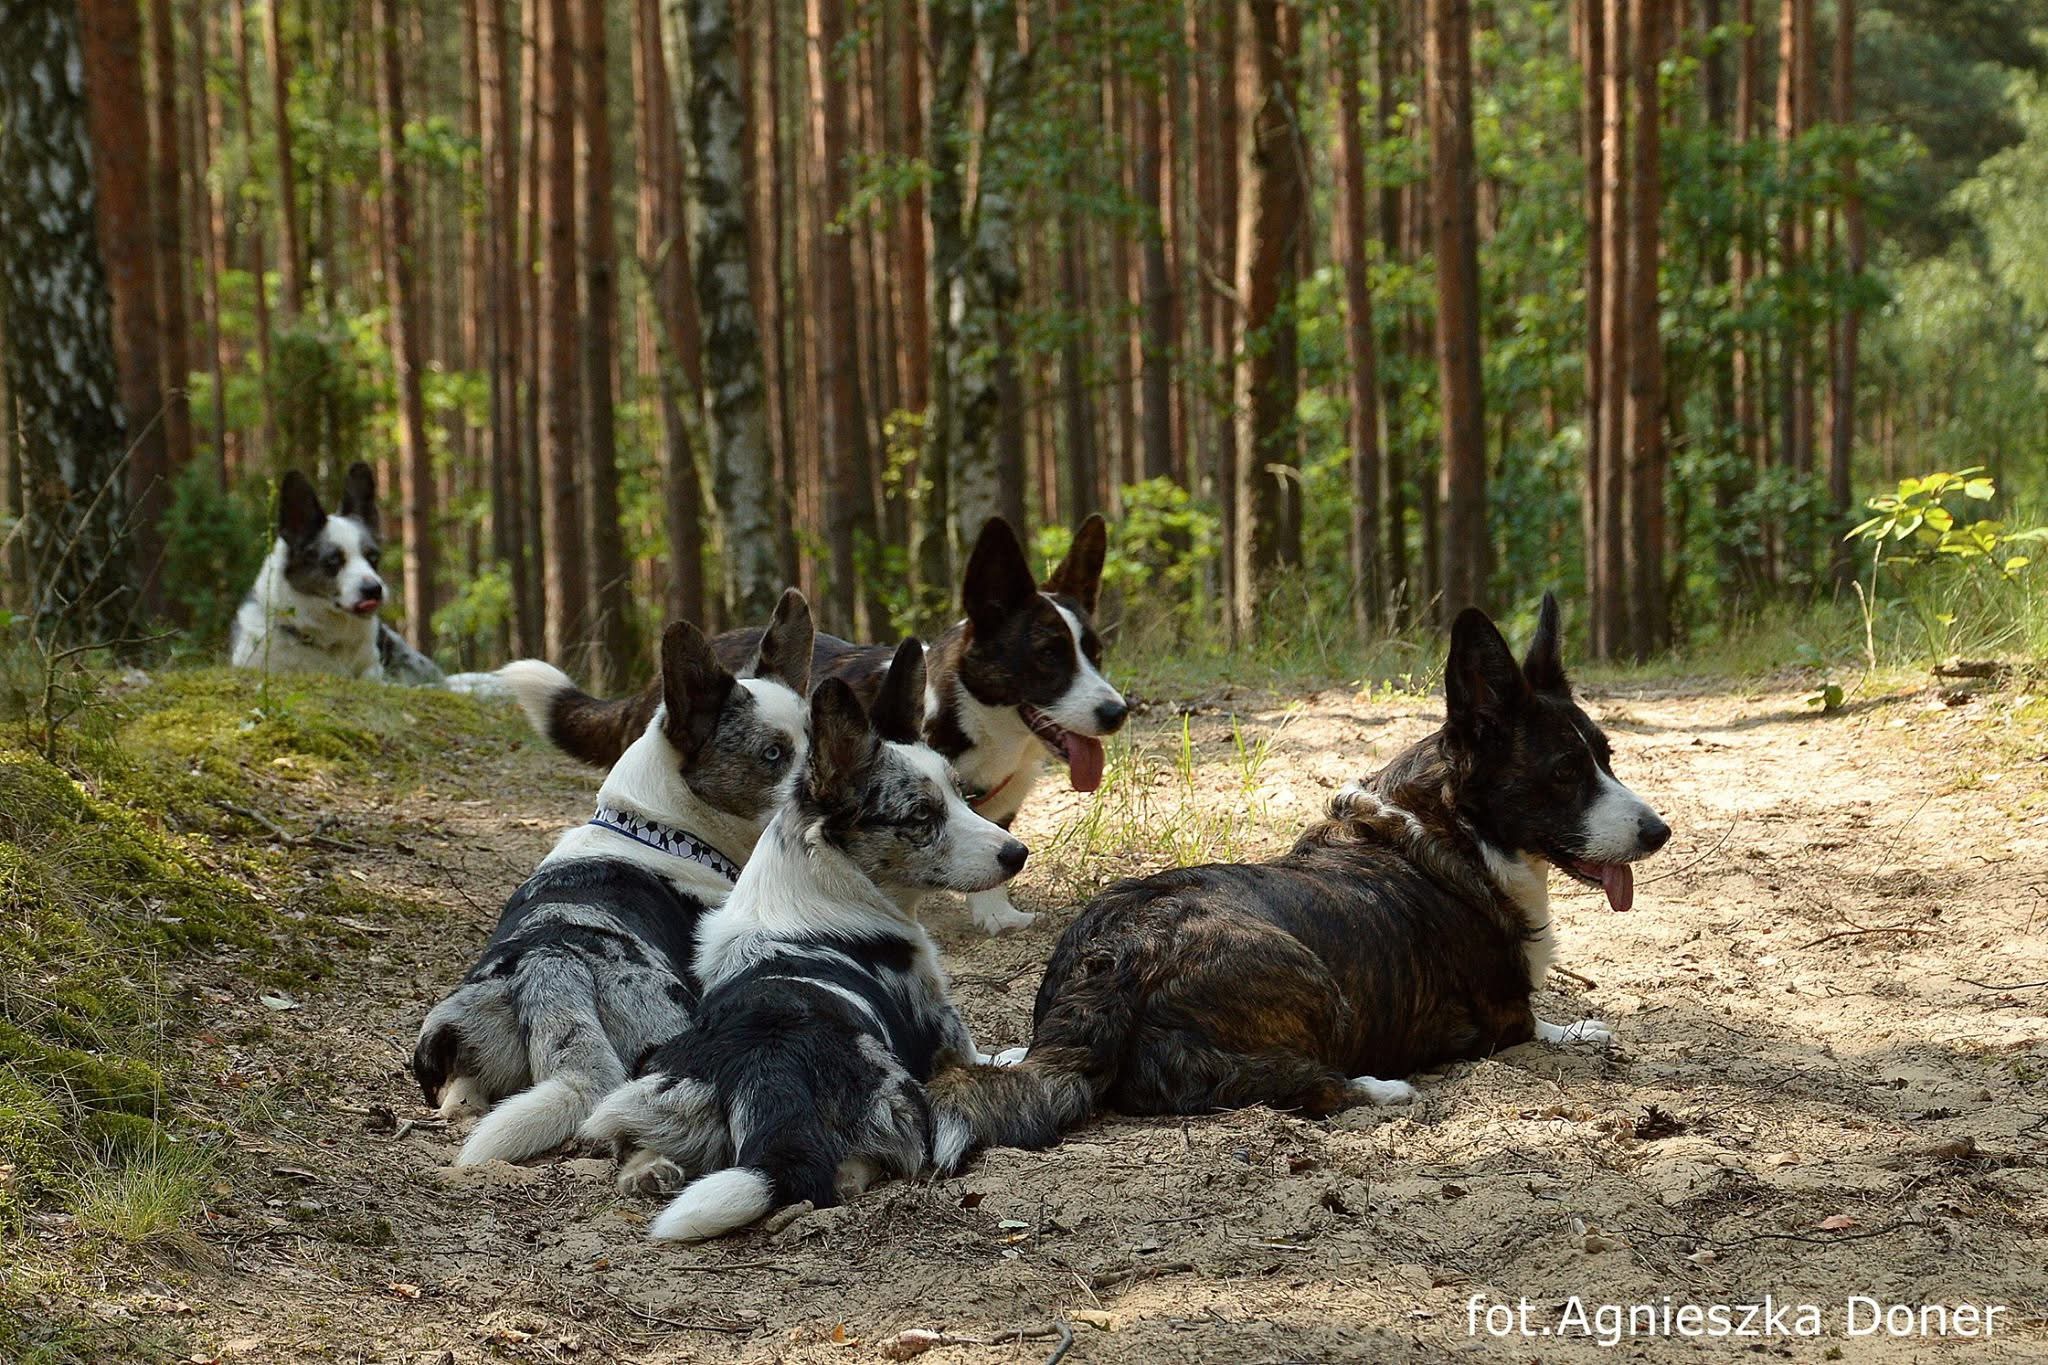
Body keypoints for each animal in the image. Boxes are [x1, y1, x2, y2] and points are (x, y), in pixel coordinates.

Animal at [501, 517, 1130, 933]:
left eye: (1096, 654)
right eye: (1048, 656)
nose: (1116, 712)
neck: (966, 716)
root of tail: (651, 688)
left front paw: (999, 915)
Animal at [577, 642, 1024, 1236]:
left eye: (959, 793)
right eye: (922, 816)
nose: (1018, 854)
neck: (825, 883)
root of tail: (767, 1072)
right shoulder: (943, 1024)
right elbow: (992, 1054)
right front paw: (1015, 1053)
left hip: (647, 1087)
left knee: (634, 1144)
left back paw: (650, 1169)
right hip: (901, 1094)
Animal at [937, 597, 1671, 1154]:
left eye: (1606, 756)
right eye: (1564, 773)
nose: (1660, 833)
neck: (1454, 824)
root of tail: (1110, 958)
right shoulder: (1504, 1019)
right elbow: (1542, 1024)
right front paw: (1583, 1029)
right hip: (1315, 981)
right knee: (1294, 1085)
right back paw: (1379, 1088)